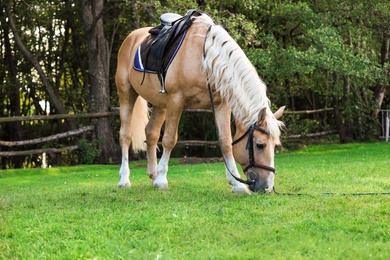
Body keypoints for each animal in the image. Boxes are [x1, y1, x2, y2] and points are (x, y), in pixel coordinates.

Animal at [115, 11, 284, 194]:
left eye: (275, 145)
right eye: (260, 145)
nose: (267, 187)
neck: (205, 60)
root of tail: (131, 37)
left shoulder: (221, 105)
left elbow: (226, 142)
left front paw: (237, 184)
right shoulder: (176, 101)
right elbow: (169, 139)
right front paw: (162, 180)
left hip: (160, 103)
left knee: (151, 133)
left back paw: (153, 175)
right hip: (127, 94)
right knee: (125, 135)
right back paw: (124, 180)